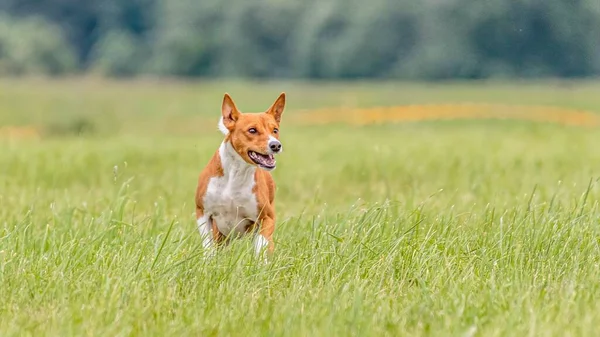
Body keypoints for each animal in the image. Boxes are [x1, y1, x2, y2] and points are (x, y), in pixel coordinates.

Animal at [193, 92, 284, 258]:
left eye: (275, 130)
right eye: (252, 130)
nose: (275, 145)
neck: (236, 174)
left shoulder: (267, 218)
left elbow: (261, 245)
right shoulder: (202, 212)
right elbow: (208, 247)